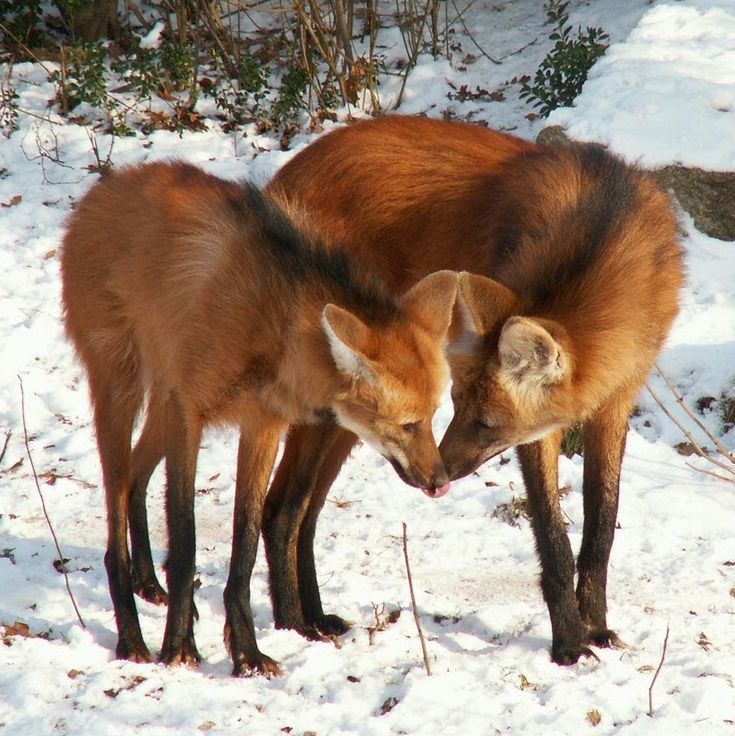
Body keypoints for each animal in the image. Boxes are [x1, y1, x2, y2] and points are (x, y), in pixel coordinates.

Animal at [60, 162, 458, 680]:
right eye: (408, 424)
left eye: (432, 417)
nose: (441, 481)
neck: (273, 324)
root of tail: (99, 189)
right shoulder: (190, 415)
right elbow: (186, 545)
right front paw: (178, 649)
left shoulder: (261, 426)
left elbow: (245, 548)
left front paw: (245, 653)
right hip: (122, 392)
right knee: (115, 518)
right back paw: (133, 636)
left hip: (160, 405)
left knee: (135, 478)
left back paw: (151, 584)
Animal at [258, 116, 684, 668]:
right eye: (457, 406)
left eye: (482, 422)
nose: (443, 472)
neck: (600, 228)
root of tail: (285, 174)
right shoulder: (538, 433)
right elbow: (554, 539)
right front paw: (569, 642)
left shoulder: (615, 400)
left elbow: (601, 527)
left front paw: (598, 627)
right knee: (281, 509)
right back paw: (293, 626)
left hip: (364, 408)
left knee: (306, 513)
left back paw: (315, 616)